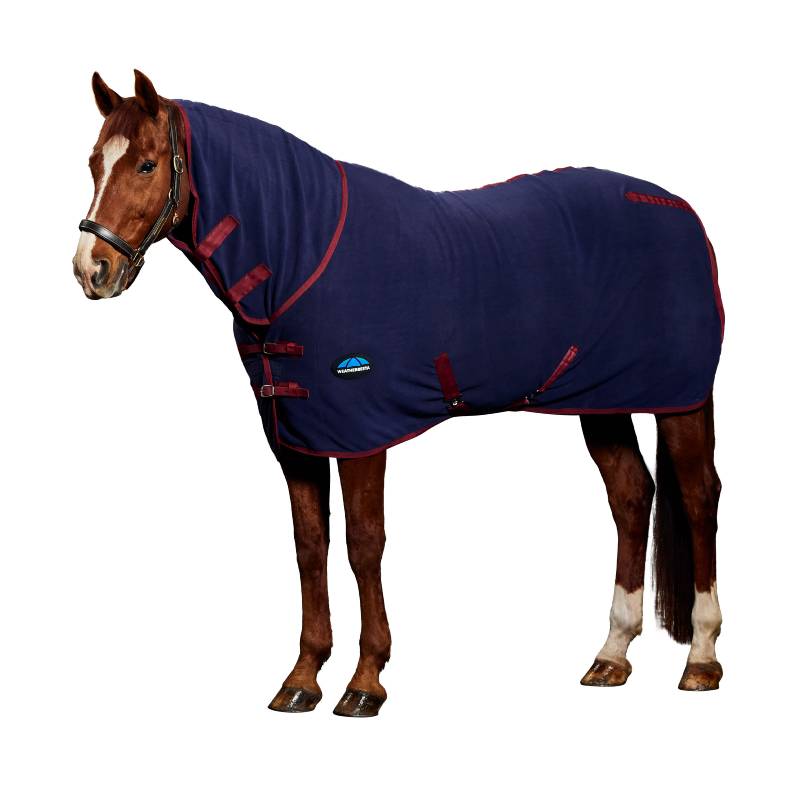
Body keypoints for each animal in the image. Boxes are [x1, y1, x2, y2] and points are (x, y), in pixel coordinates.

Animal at [73, 69, 724, 716]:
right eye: (93, 163)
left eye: (147, 165)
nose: (91, 269)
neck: (302, 253)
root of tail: (680, 211)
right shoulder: (296, 438)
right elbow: (309, 546)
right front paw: (302, 678)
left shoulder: (361, 431)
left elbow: (363, 544)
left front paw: (365, 681)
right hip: (602, 399)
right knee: (631, 495)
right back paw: (612, 656)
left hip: (681, 397)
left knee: (698, 497)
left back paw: (701, 659)